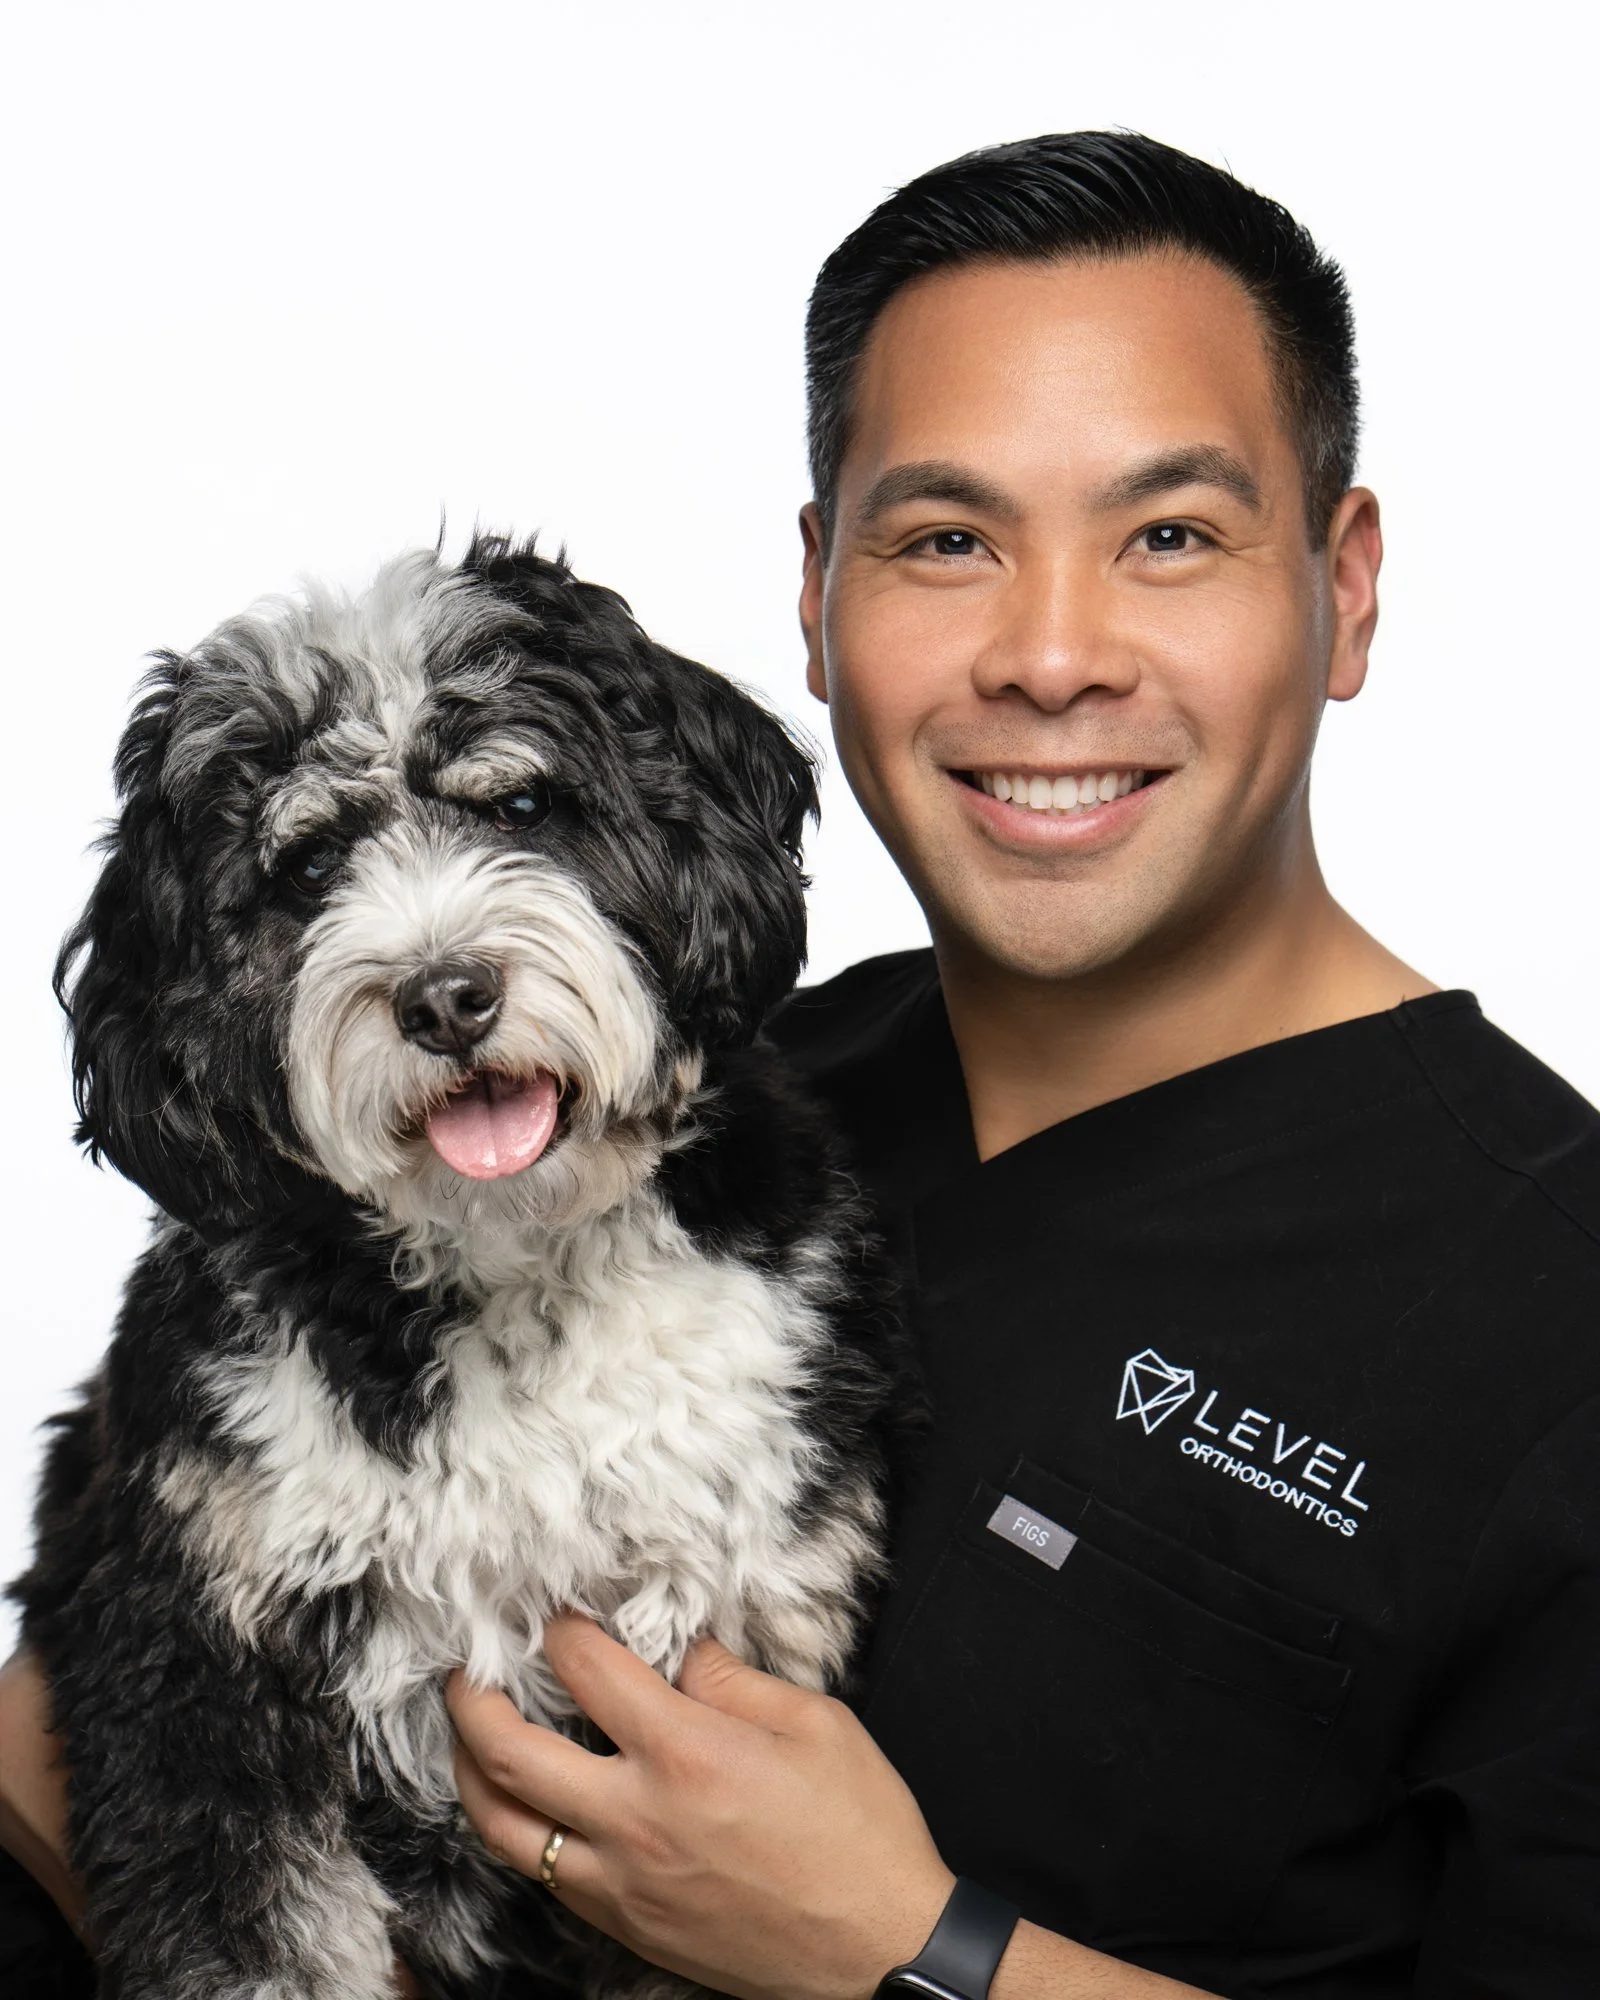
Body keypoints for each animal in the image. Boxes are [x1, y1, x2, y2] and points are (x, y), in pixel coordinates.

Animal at [14, 534, 907, 1999]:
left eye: (524, 803)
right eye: (304, 867)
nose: (444, 994)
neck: (506, 1263)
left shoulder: (739, 1620)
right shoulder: (196, 1668)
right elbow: (253, 1942)